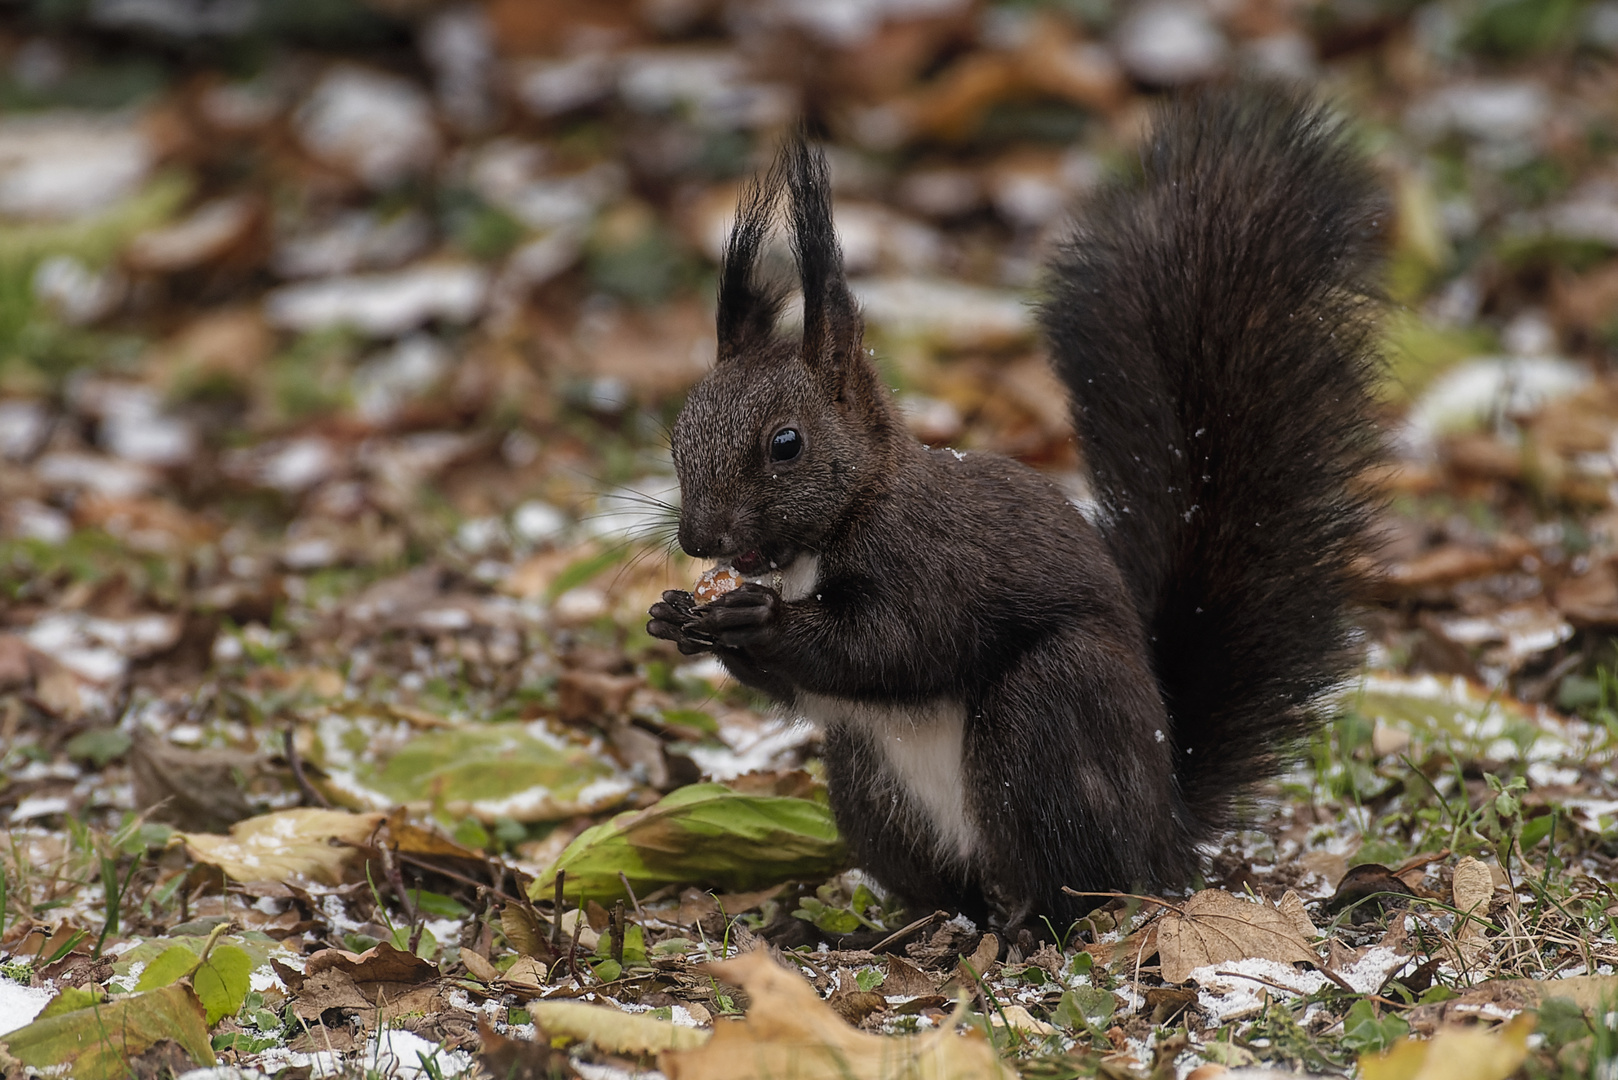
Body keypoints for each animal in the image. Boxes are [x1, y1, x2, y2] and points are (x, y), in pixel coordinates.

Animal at [650, 84, 1385, 932]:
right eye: (678, 434)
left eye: (786, 444)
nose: (699, 537)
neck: (832, 531)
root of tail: (1167, 825)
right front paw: (675, 616)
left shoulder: (932, 564)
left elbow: (889, 646)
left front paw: (756, 618)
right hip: (867, 784)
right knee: (951, 886)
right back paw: (914, 927)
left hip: (1048, 718)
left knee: (1078, 880)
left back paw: (1032, 925)